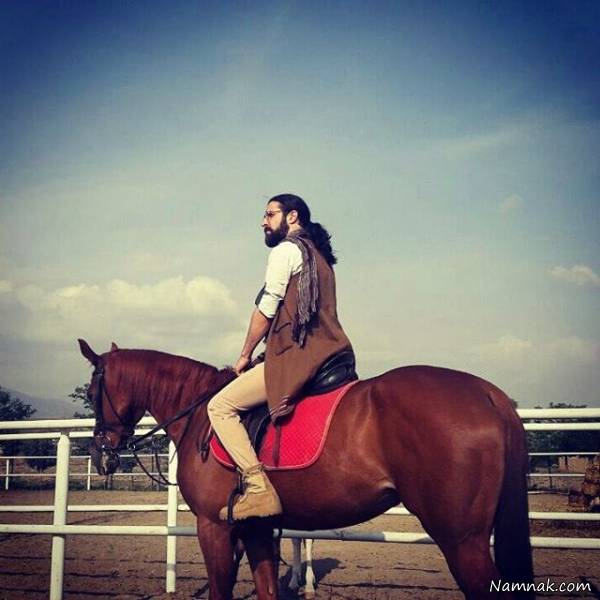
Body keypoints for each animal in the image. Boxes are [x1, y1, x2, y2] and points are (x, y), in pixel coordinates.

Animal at [78, 339, 534, 599]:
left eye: (93, 390)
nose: (102, 455)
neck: (200, 413)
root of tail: (489, 393)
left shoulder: (214, 526)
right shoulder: (257, 528)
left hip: (462, 540)